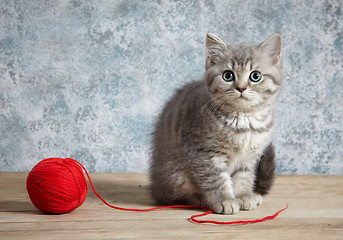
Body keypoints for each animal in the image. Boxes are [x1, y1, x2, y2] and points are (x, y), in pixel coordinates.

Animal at [150, 32, 282, 215]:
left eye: (255, 76)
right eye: (228, 75)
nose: (241, 88)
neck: (244, 119)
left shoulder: (249, 157)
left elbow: (244, 176)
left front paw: (243, 195)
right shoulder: (203, 152)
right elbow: (216, 178)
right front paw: (224, 200)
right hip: (175, 175)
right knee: (171, 197)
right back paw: (197, 199)